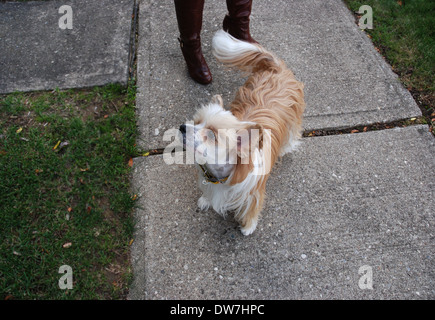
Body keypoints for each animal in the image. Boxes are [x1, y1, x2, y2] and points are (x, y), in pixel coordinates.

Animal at [179, 30, 304, 235]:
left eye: (212, 134)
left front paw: (248, 227)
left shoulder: (254, 194)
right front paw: (206, 199)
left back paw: (287, 146)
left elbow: (251, 210)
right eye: (197, 122)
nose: (182, 127)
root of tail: (276, 68)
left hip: (294, 117)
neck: (220, 177)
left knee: (293, 133)